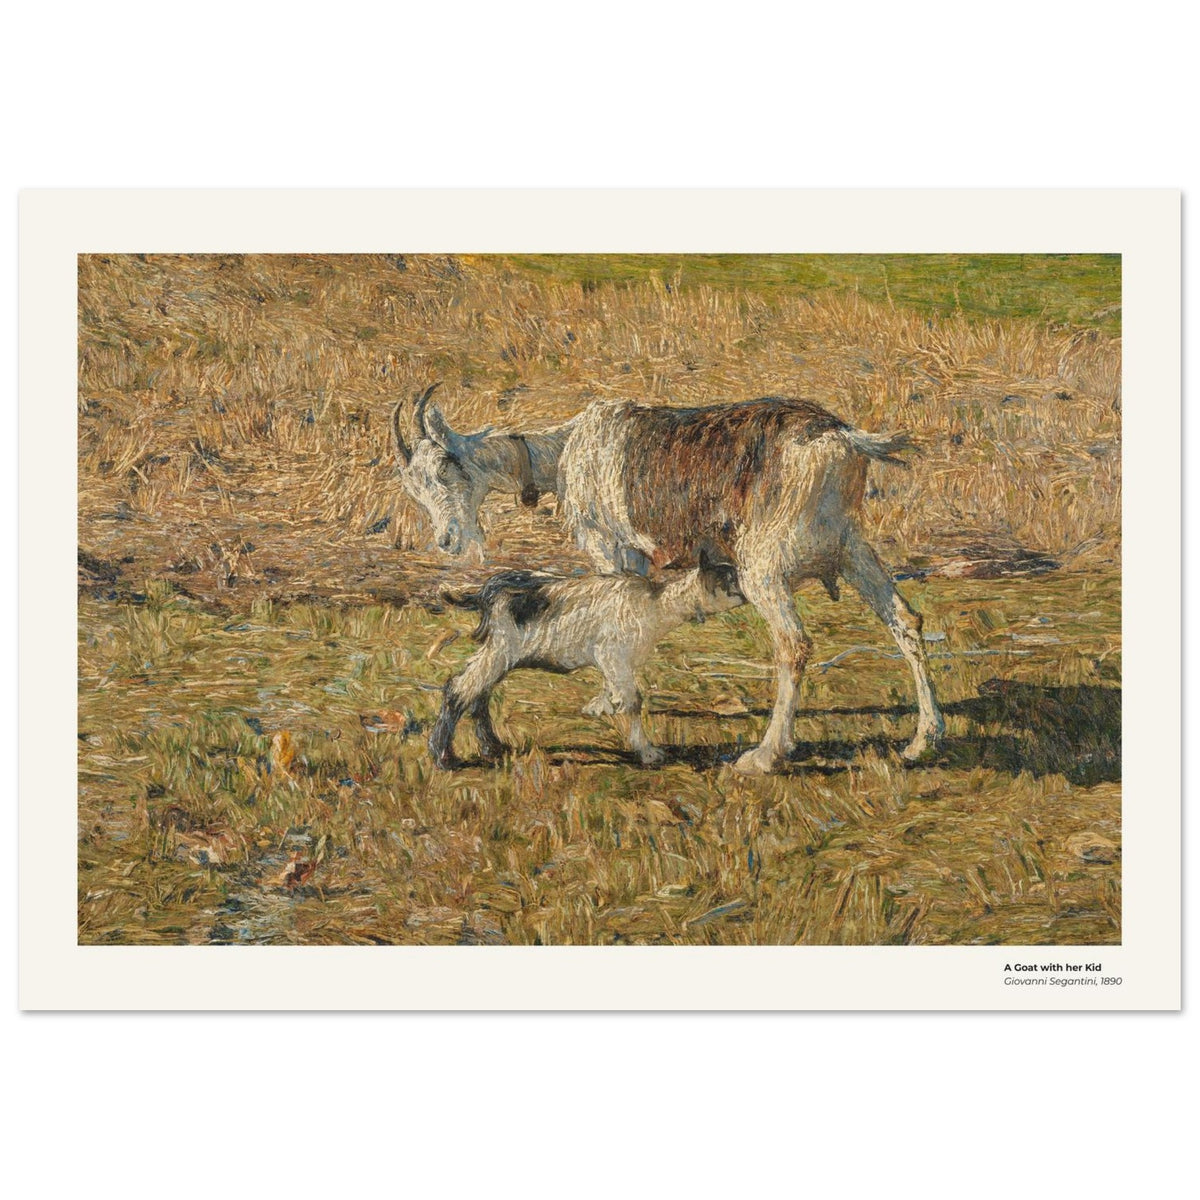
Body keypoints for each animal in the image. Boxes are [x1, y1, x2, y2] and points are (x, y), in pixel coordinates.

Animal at [428, 557, 746, 769]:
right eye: (730, 580)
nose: (748, 595)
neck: (656, 605)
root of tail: (486, 591)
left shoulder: (612, 661)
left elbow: (612, 689)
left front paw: (599, 706)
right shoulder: (613, 654)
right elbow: (633, 701)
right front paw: (647, 752)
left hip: (498, 653)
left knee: (477, 693)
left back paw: (492, 747)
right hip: (501, 650)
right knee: (459, 690)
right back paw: (444, 757)